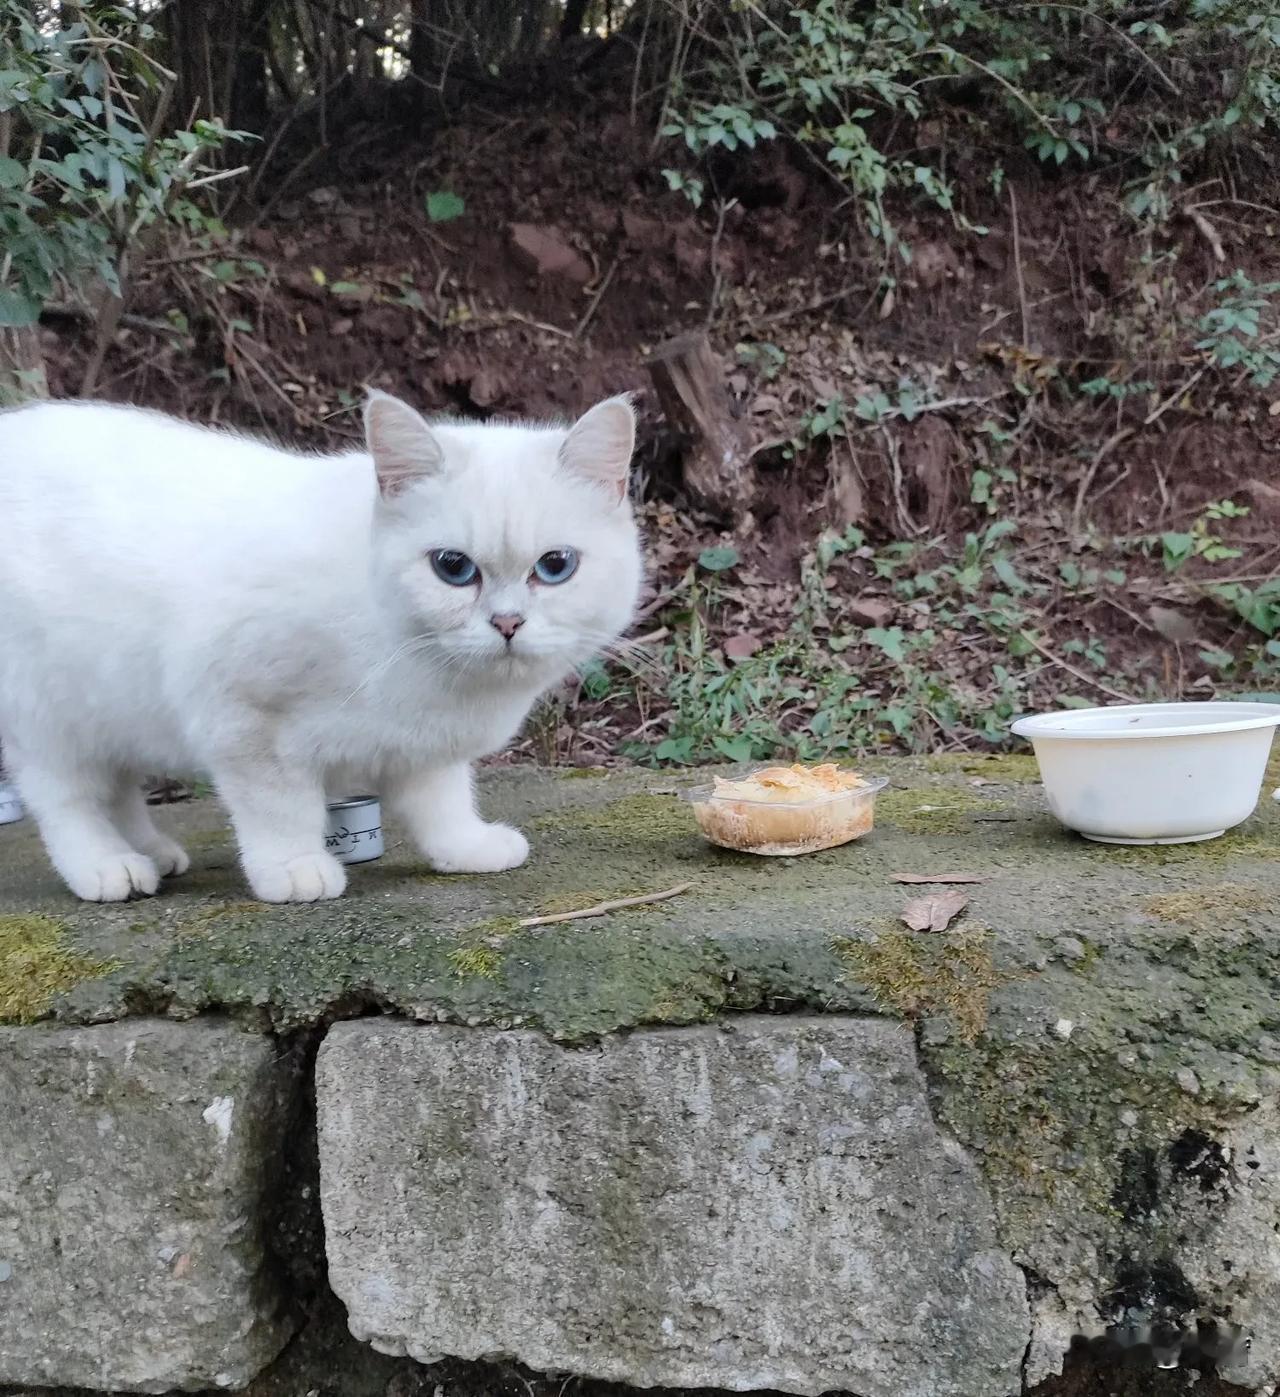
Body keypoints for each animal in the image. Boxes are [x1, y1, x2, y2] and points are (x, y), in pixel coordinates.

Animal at [0, 388, 640, 899]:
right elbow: (280, 807)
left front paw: (466, 849)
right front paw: (293, 868)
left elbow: (443, 801)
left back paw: (152, 852)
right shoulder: (243, 721)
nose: (507, 623)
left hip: (114, 712)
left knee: (118, 788)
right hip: (51, 714)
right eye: (453, 568)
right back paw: (108, 866)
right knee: (65, 798)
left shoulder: (426, 748)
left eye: (555, 566)